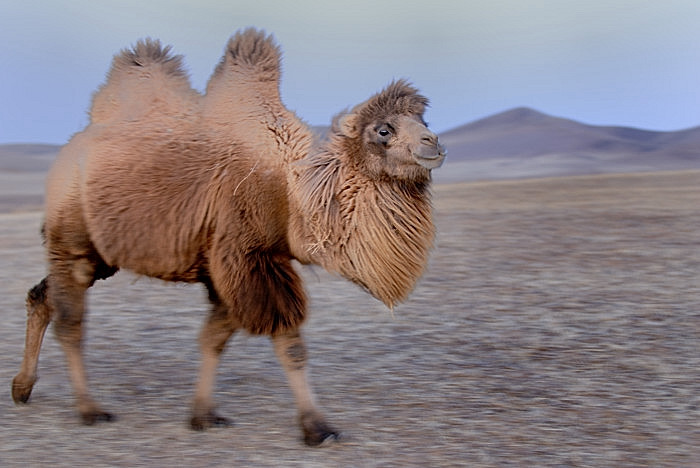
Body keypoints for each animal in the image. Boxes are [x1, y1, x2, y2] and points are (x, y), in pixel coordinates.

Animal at [9, 29, 442, 446]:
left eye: (425, 121)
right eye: (383, 129)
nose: (433, 143)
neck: (292, 191)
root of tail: (67, 152)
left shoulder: (232, 267)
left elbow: (214, 338)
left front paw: (203, 414)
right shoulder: (247, 257)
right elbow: (289, 344)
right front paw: (317, 427)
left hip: (102, 253)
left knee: (42, 296)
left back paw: (22, 388)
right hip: (73, 238)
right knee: (71, 321)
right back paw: (88, 408)